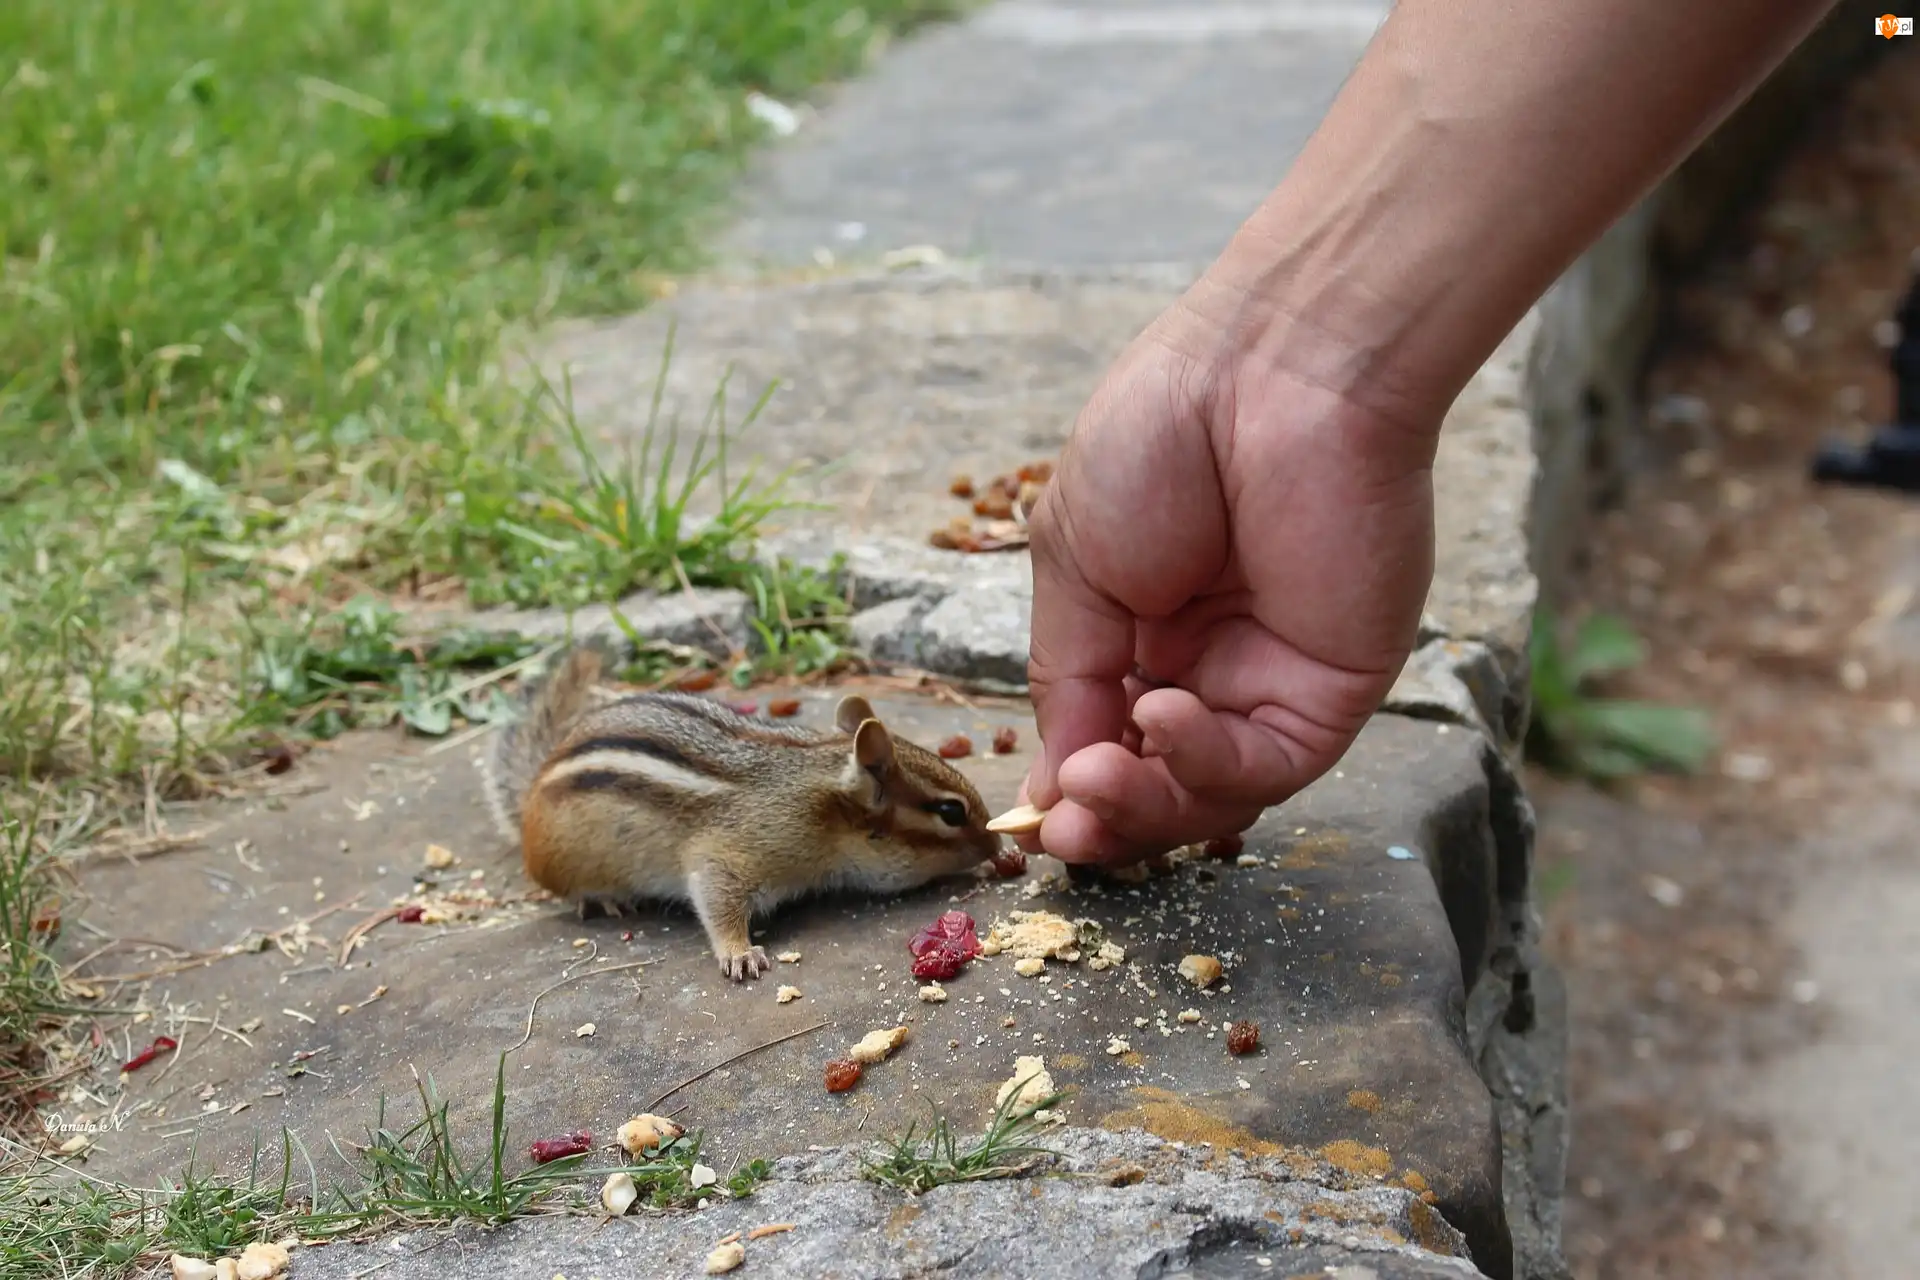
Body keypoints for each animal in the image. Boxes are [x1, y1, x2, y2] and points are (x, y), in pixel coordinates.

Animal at [479, 645, 1004, 981]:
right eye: (950, 812)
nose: (998, 844)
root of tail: (531, 792)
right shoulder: (735, 852)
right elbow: (715, 895)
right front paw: (739, 953)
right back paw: (602, 898)